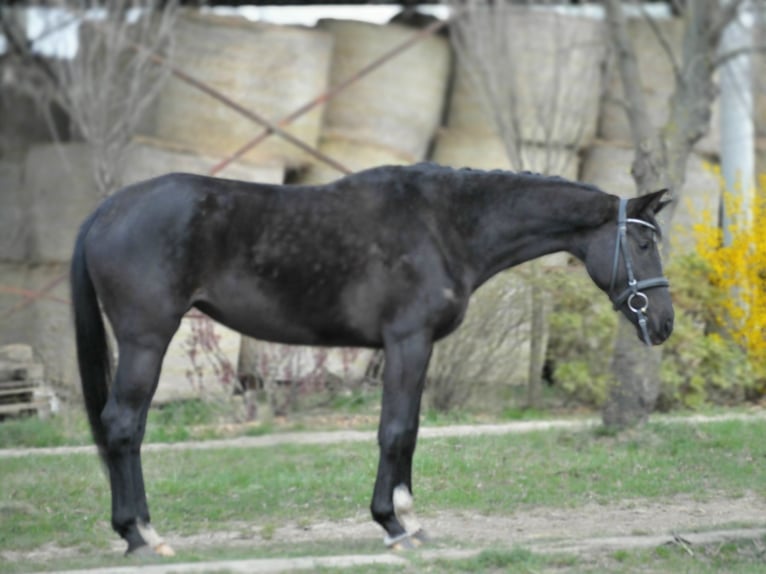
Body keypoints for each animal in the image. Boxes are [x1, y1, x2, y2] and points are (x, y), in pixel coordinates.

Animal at [70, 162, 674, 555]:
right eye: (644, 244)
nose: (665, 323)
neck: (444, 224)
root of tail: (106, 211)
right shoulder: (408, 341)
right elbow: (397, 430)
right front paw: (395, 524)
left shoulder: (411, 348)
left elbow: (408, 430)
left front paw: (406, 519)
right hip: (147, 339)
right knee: (122, 425)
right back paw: (141, 536)